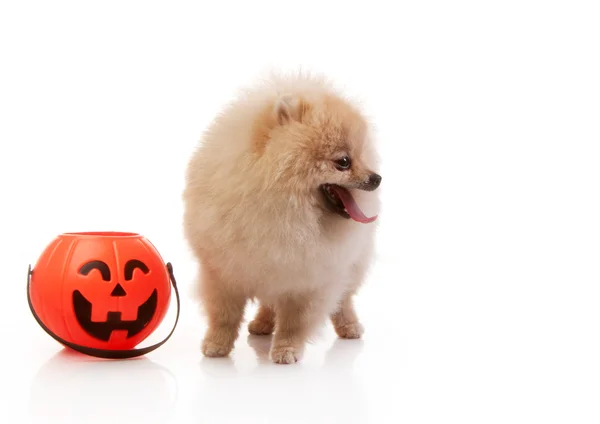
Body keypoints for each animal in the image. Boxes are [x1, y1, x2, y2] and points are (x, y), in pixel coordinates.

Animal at [180, 73, 382, 364]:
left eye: (362, 156)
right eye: (343, 161)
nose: (377, 178)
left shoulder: (306, 278)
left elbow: (294, 322)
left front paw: (286, 350)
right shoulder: (223, 271)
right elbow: (224, 315)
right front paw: (216, 345)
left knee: (343, 299)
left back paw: (349, 326)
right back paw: (262, 324)